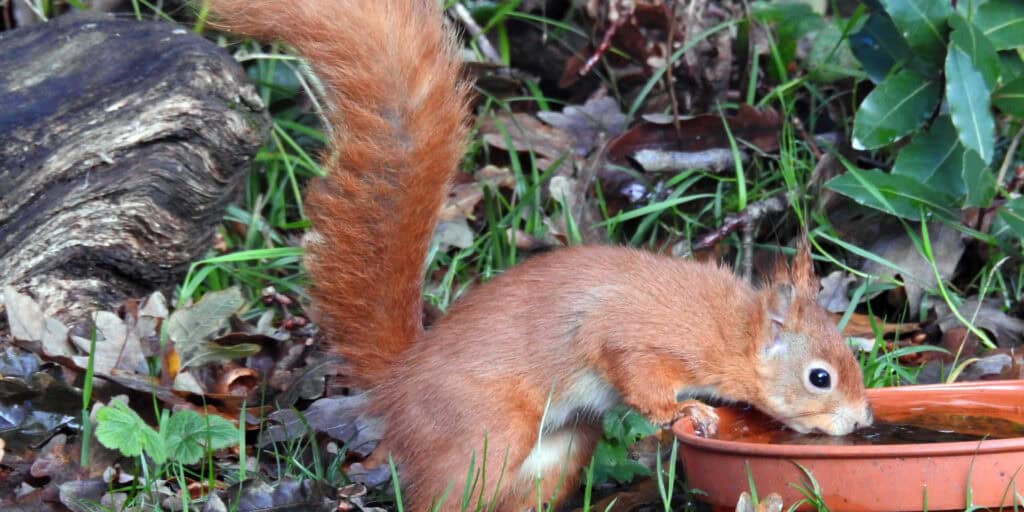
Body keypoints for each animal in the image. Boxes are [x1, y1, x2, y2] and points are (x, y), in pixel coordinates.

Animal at [206, 0, 873, 510]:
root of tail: (402, 378)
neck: (728, 329)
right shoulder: (637, 335)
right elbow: (638, 375)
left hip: (559, 450)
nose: (862, 421)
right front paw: (689, 413)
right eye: (820, 377)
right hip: (486, 433)